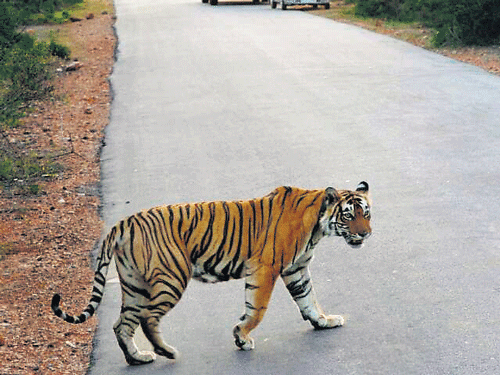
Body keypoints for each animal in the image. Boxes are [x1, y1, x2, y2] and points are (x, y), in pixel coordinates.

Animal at [51, 182, 372, 364]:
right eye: (348, 215)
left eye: (366, 213)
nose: (366, 234)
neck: (317, 226)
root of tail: (122, 223)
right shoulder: (266, 269)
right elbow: (257, 309)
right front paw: (241, 337)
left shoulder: (296, 269)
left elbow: (308, 299)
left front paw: (324, 321)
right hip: (171, 278)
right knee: (148, 318)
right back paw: (167, 352)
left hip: (134, 284)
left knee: (122, 324)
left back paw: (138, 358)